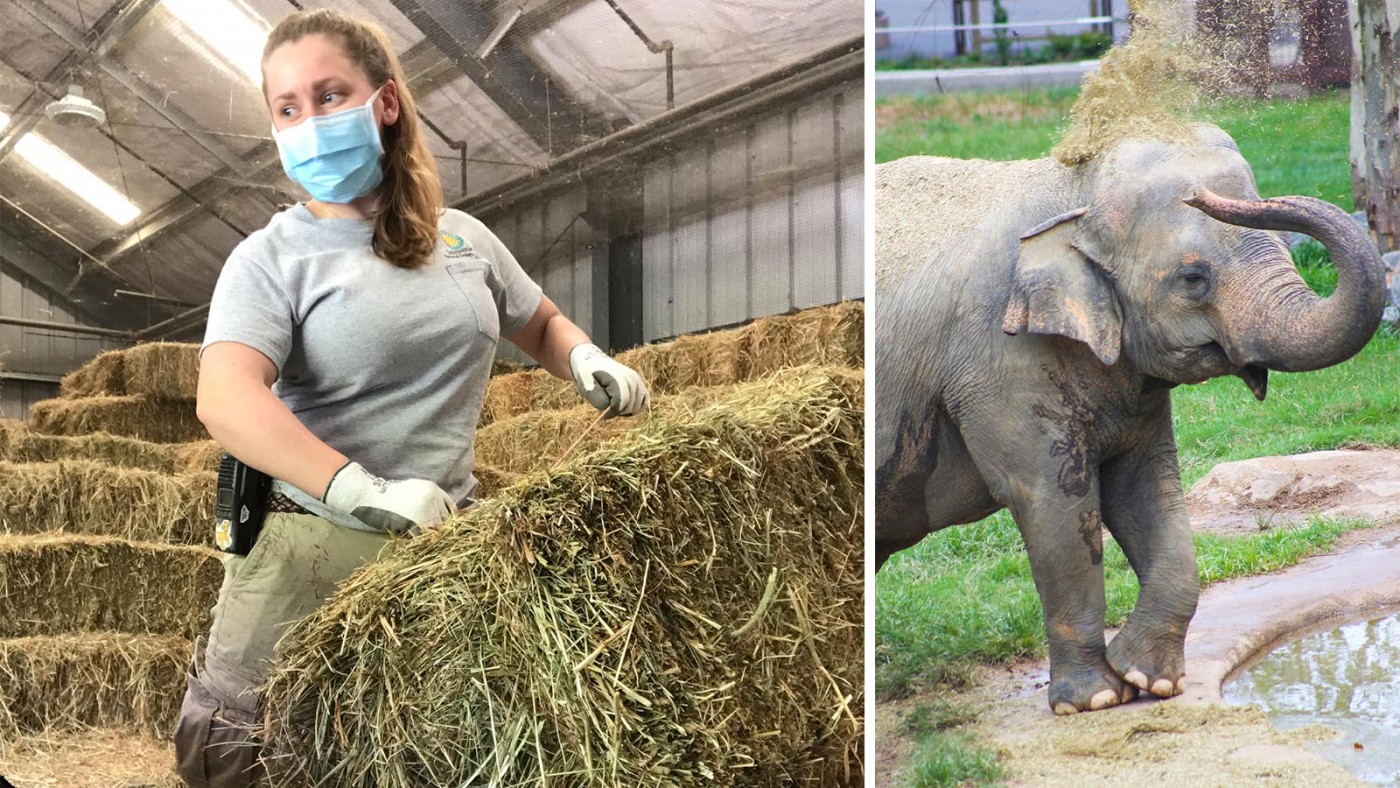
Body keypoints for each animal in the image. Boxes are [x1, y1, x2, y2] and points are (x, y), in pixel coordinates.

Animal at [873, 123, 1388, 716]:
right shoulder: (999, 361)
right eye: (1193, 278)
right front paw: (1094, 700)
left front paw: (1151, 681)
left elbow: (1147, 491)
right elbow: (1052, 501)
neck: (1071, 189)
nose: (1201, 194)